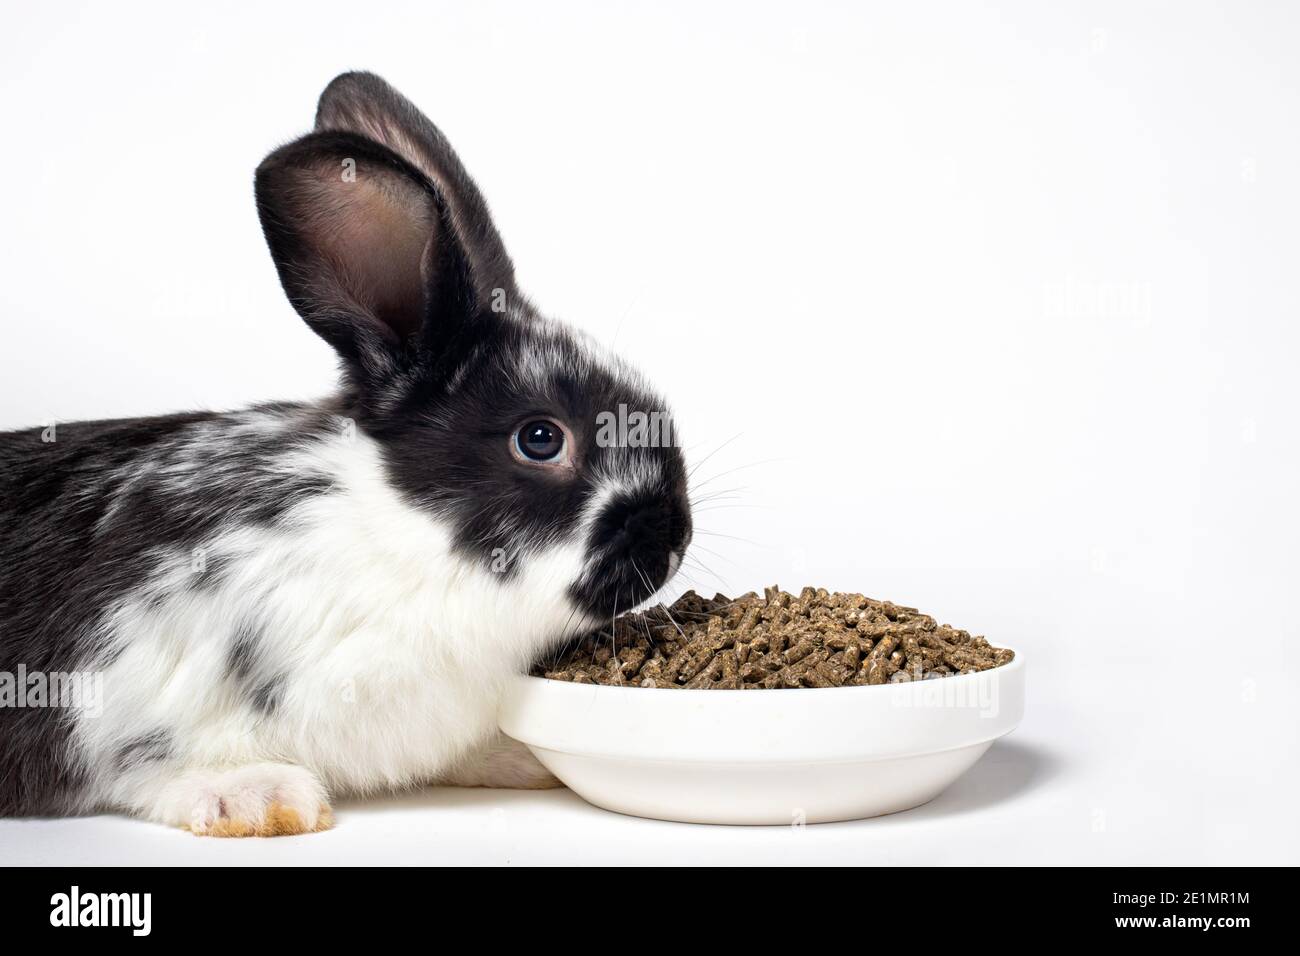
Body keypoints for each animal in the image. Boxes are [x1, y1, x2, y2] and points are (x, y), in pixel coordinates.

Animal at [0, 72, 691, 837]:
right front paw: (257, 797)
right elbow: (151, 766)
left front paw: (525, 760)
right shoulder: (127, 676)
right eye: (540, 439)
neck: (404, 544)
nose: (674, 537)